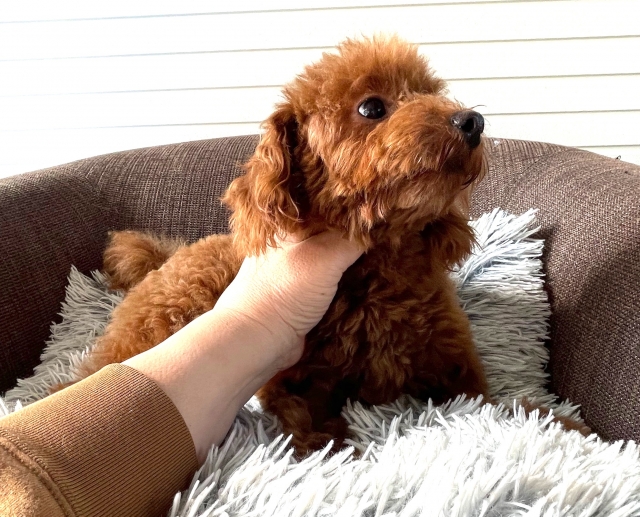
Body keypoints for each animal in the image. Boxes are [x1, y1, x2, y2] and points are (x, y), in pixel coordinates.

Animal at [57, 36, 584, 453]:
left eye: (430, 92)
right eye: (372, 107)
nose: (471, 121)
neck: (379, 277)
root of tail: (165, 258)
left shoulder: (456, 373)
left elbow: (500, 406)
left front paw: (561, 423)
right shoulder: (290, 377)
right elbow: (299, 415)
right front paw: (325, 444)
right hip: (169, 315)